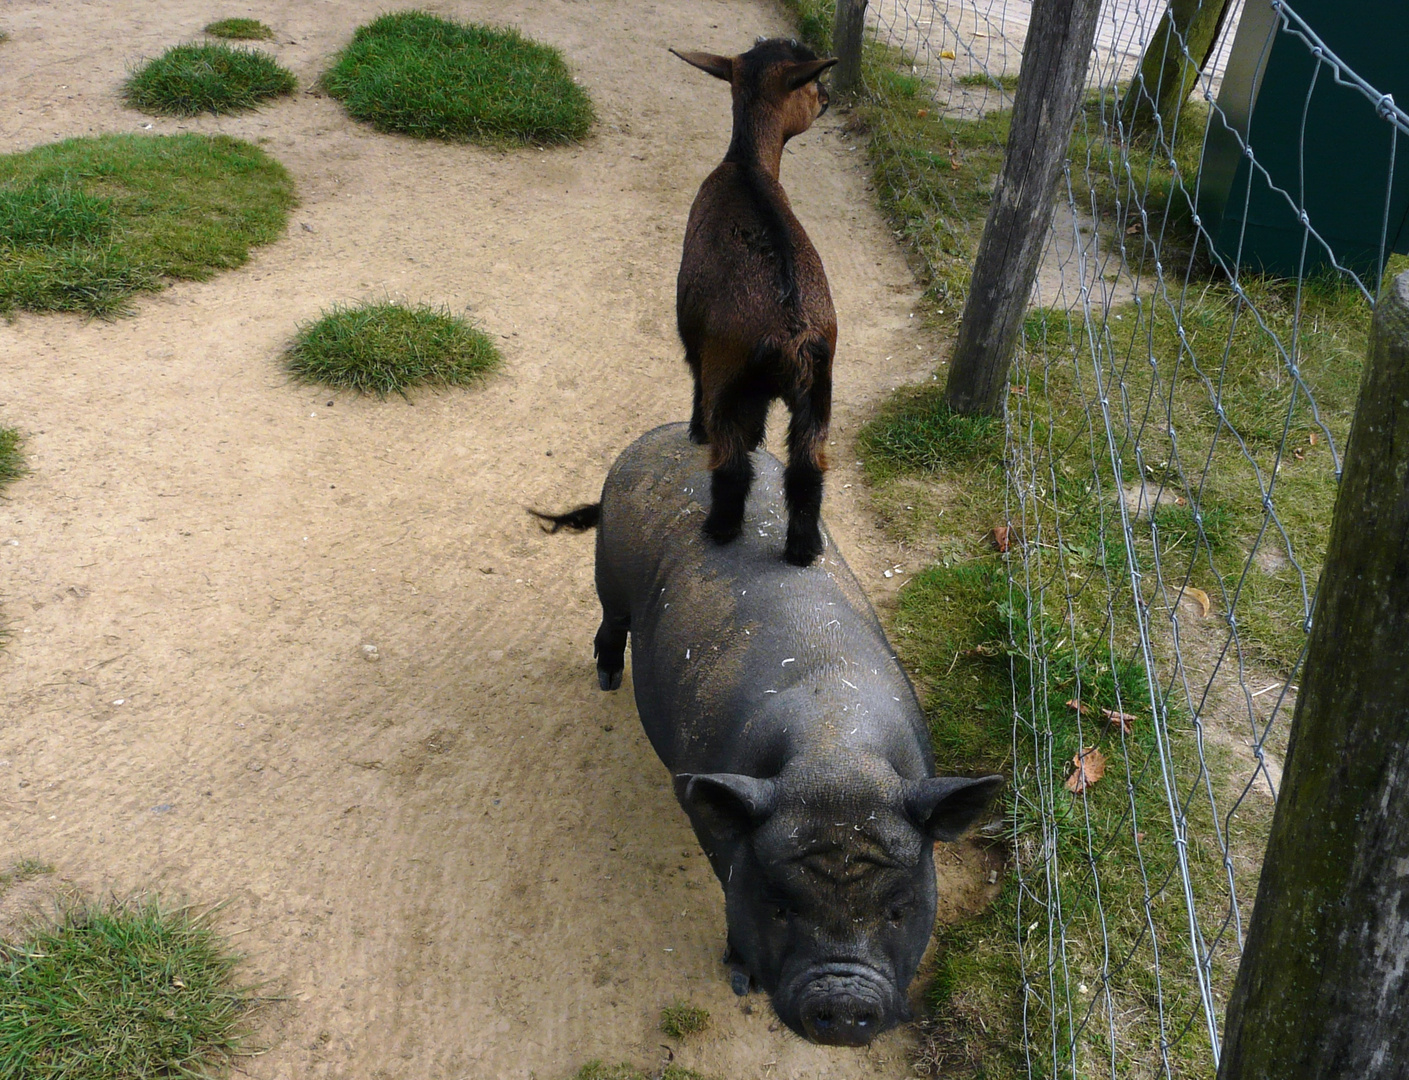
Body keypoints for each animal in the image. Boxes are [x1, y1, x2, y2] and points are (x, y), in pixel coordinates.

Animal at [670, 36, 834, 566]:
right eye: (811, 83)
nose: (828, 99)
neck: (746, 166)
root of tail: (792, 332)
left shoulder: (699, 344)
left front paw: (694, 430)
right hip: (818, 391)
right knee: (806, 469)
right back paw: (803, 548)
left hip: (729, 371)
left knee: (731, 463)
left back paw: (719, 529)